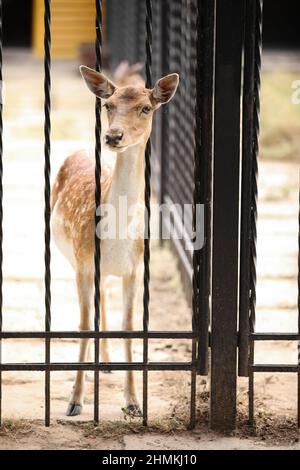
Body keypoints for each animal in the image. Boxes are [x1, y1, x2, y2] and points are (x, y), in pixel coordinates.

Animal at [50, 64, 179, 416]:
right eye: (108, 105)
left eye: (146, 108)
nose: (113, 136)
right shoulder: (83, 263)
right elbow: (82, 325)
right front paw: (75, 401)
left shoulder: (134, 270)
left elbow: (129, 327)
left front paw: (133, 403)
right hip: (74, 258)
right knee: (97, 303)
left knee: (104, 297)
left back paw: (107, 363)